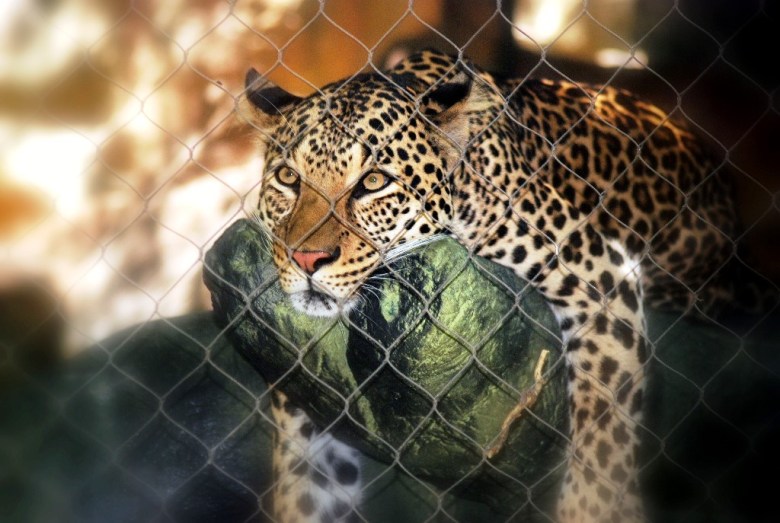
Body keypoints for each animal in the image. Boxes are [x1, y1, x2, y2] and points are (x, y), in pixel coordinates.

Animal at [239, 49, 741, 522]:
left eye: (374, 182)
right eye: (288, 178)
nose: (307, 259)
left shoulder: (600, 274)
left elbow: (604, 424)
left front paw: (594, 507)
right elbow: (306, 488)